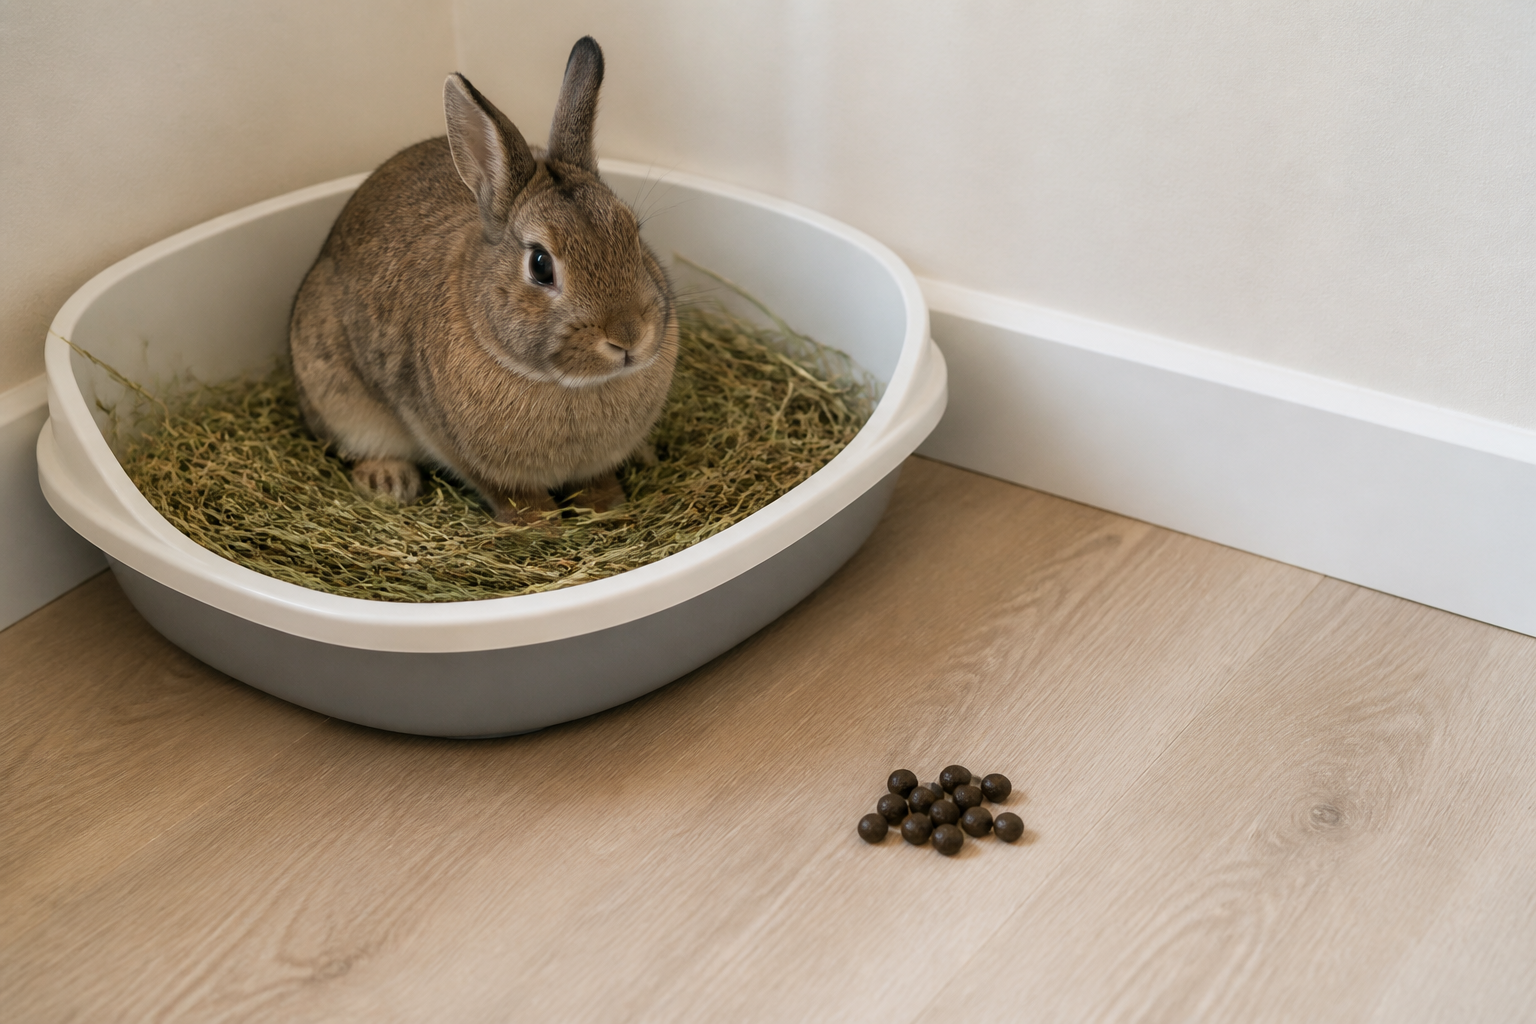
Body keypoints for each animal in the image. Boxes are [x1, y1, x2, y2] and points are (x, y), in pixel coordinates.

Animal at [289, 36, 677, 525]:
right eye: (540, 265)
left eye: (633, 232)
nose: (629, 336)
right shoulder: (458, 448)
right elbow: (510, 493)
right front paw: (540, 525)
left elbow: (596, 481)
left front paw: (606, 507)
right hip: (334, 393)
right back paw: (389, 481)